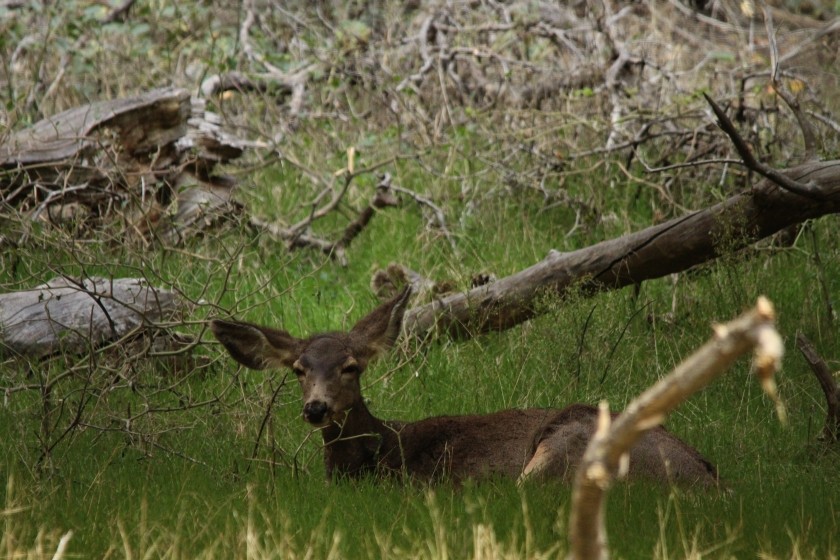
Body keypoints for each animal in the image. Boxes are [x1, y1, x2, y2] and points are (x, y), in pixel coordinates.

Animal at [208, 288, 716, 486]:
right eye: (298, 369)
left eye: (351, 367)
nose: (316, 408)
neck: (384, 452)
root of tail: (711, 480)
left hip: (567, 444)